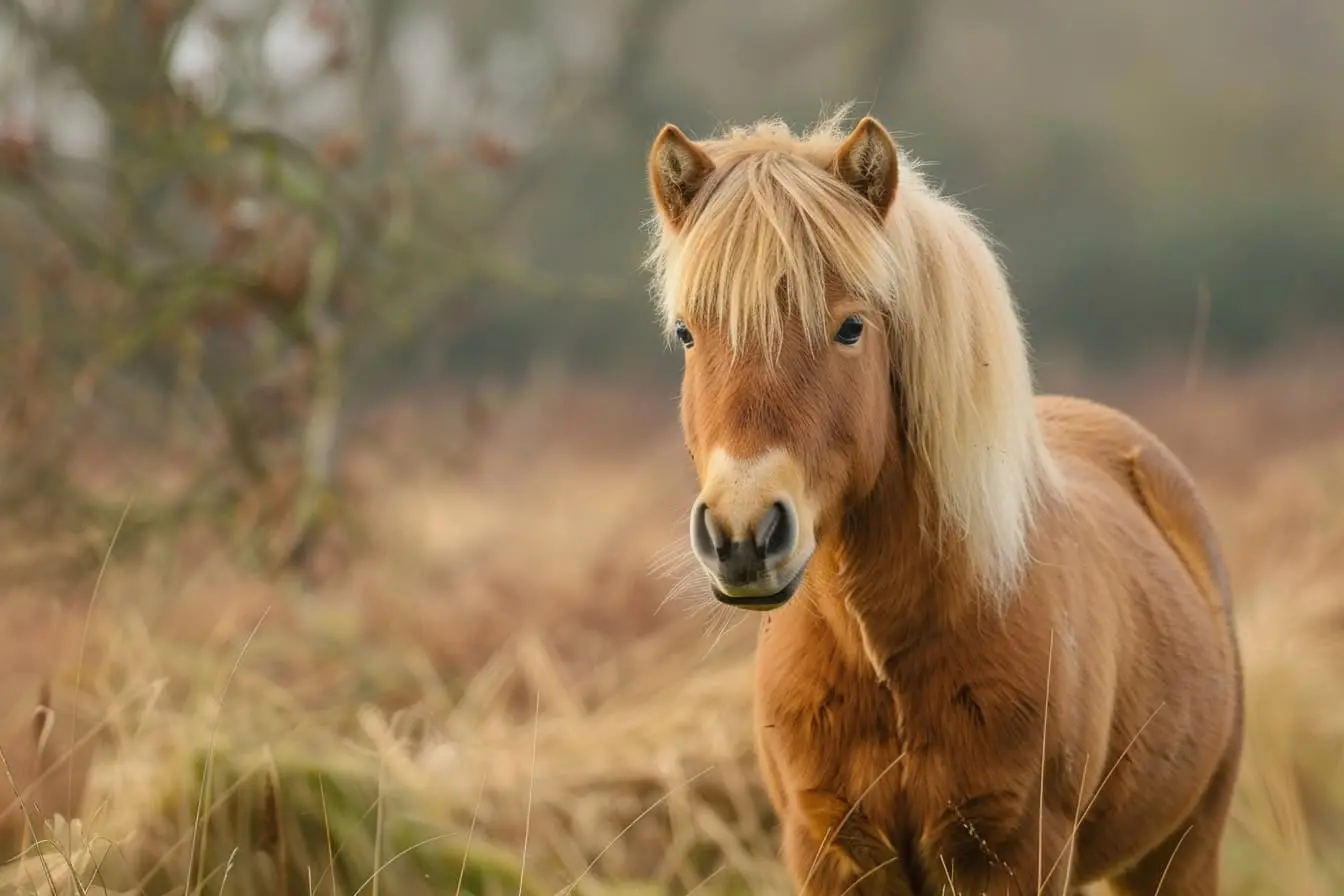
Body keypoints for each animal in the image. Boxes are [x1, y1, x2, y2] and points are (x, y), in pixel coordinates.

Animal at [645, 106, 1241, 896]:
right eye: (688, 332)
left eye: (850, 328)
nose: (743, 535)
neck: (887, 661)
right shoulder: (831, 851)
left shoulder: (1013, 854)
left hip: (1183, 849)